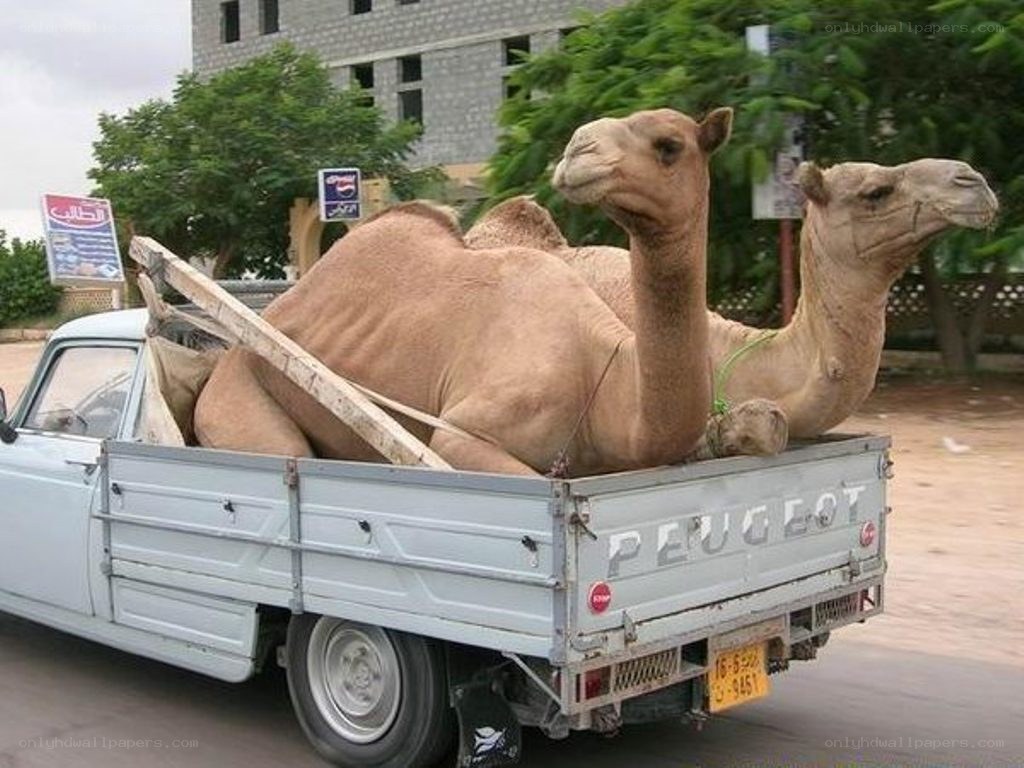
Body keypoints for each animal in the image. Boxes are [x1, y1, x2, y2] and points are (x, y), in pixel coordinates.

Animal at [194, 107, 734, 476]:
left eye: (669, 145)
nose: (578, 149)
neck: (605, 384)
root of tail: (236, 343)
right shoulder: (463, 434)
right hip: (235, 396)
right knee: (283, 449)